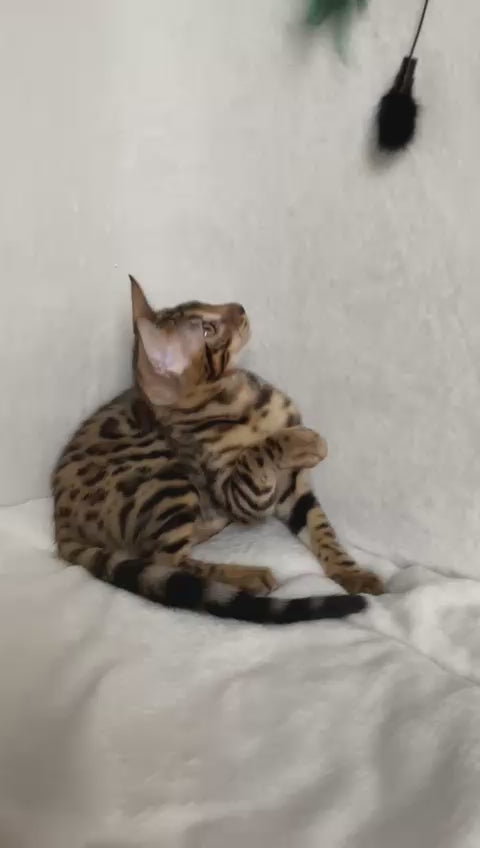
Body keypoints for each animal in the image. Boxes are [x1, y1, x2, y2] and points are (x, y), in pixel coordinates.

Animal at [52, 277, 383, 624]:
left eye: (204, 304)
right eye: (208, 329)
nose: (240, 307)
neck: (241, 396)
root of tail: (60, 522)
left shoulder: (292, 488)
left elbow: (321, 529)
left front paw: (353, 574)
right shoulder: (242, 496)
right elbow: (259, 452)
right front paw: (304, 442)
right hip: (165, 478)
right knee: (166, 563)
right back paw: (245, 576)